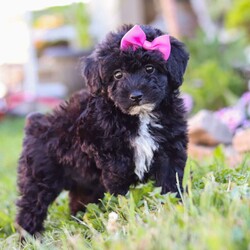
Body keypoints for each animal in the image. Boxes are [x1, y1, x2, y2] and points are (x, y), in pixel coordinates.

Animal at [16, 24, 188, 235]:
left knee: (79, 199)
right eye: (117, 74)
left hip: (84, 180)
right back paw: (29, 235)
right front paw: (126, 211)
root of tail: (36, 122)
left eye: (150, 69)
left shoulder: (170, 148)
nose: (135, 96)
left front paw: (173, 206)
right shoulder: (110, 154)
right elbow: (120, 182)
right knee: (32, 204)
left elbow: (170, 179)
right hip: (40, 174)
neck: (140, 117)